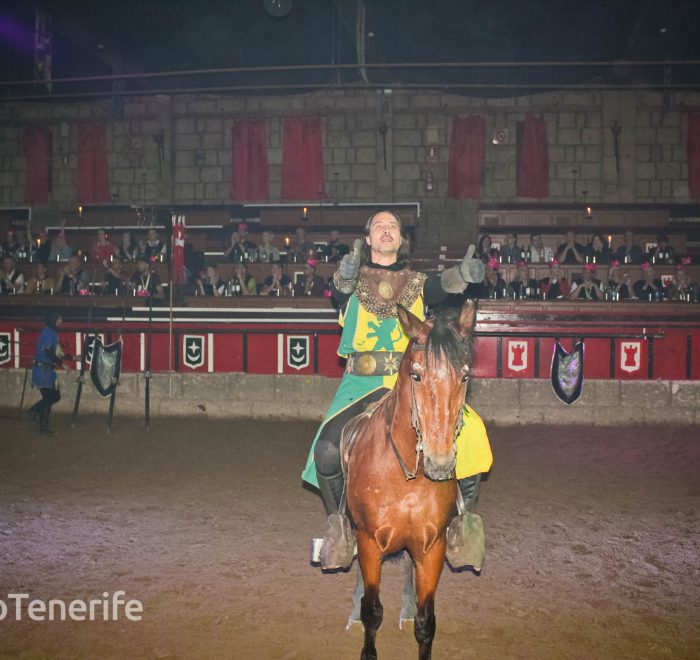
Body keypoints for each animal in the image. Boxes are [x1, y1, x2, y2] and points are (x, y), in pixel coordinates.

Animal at [344, 300, 476, 660]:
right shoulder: (369, 544)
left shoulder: (431, 550)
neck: (407, 479)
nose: (440, 462)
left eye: (465, 375)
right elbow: (372, 610)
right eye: (416, 375)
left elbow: (425, 621)